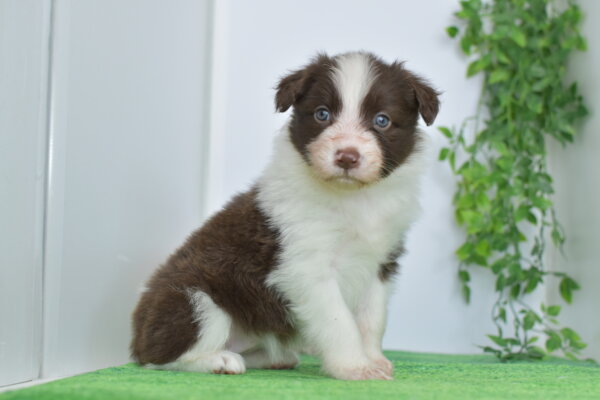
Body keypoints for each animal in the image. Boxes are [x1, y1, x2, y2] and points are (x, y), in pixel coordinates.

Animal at [131, 51, 439, 380]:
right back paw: (218, 360)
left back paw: (272, 357)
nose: (347, 157)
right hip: (194, 298)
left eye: (382, 120)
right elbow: (340, 322)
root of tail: (136, 337)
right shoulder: (307, 267)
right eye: (322, 114)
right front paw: (354, 367)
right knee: (159, 357)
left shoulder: (381, 262)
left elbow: (373, 319)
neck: (354, 198)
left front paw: (374, 360)